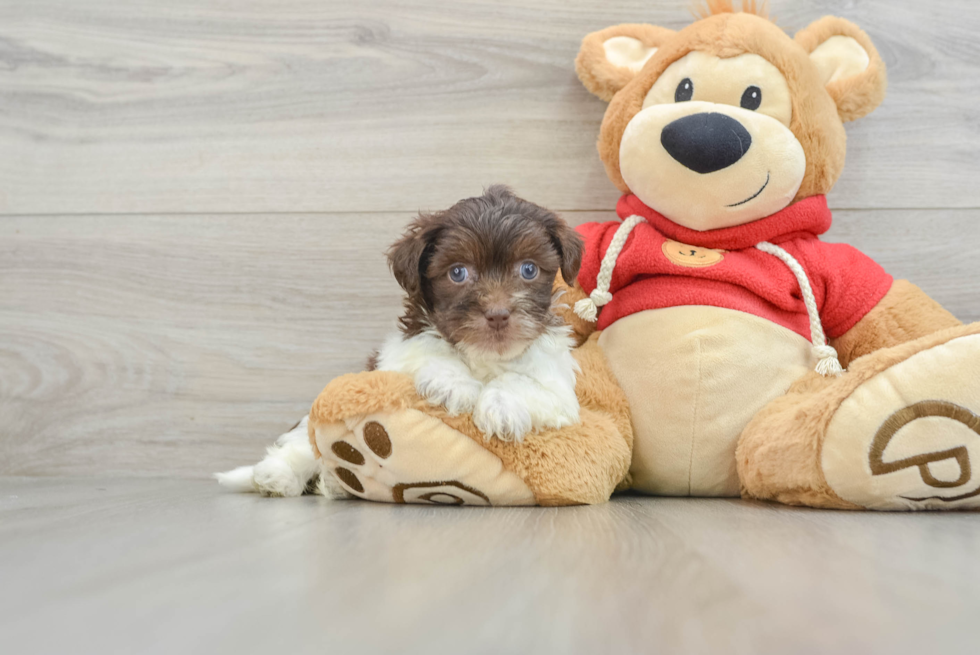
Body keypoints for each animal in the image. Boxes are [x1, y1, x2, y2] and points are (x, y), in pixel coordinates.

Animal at [216, 187, 580, 500]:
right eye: (458, 273)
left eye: (528, 269)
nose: (498, 315)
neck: (484, 356)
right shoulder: (395, 356)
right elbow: (429, 350)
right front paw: (453, 384)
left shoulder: (558, 387)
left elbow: (525, 382)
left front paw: (502, 408)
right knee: (303, 445)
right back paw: (278, 476)